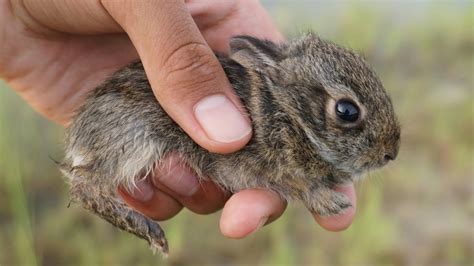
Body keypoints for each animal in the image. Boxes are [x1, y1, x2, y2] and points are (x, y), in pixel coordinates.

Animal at [59, 32, 400, 255]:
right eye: (347, 111)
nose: (391, 153)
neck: (290, 114)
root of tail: (77, 133)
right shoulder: (276, 169)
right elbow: (301, 187)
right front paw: (332, 203)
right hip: (134, 138)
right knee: (86, 187)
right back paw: (150, 231)